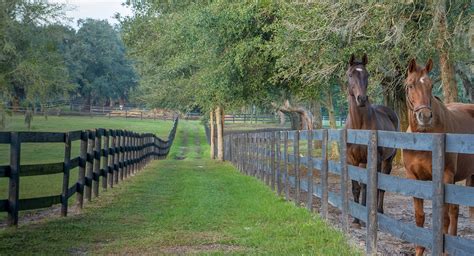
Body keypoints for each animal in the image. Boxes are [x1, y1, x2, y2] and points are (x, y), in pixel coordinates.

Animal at [344, 53, 400, 227]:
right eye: (350, 75)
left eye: (367, 75)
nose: (361, 99)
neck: (359, 127)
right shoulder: (352, 160)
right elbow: (356, 187)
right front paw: (356, 218)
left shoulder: (374, 159)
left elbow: (369, 187)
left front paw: (365, 216)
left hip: (387, 161)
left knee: (381, 188)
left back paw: (379, 211)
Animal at [402, 58, 474, 256]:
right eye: (410, 85)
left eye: (431, 85)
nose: (425, 116)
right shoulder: (413, 177)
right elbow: (420, 217)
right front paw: (419, 250)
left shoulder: (445, 176)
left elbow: (443, 217)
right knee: (455, 210)